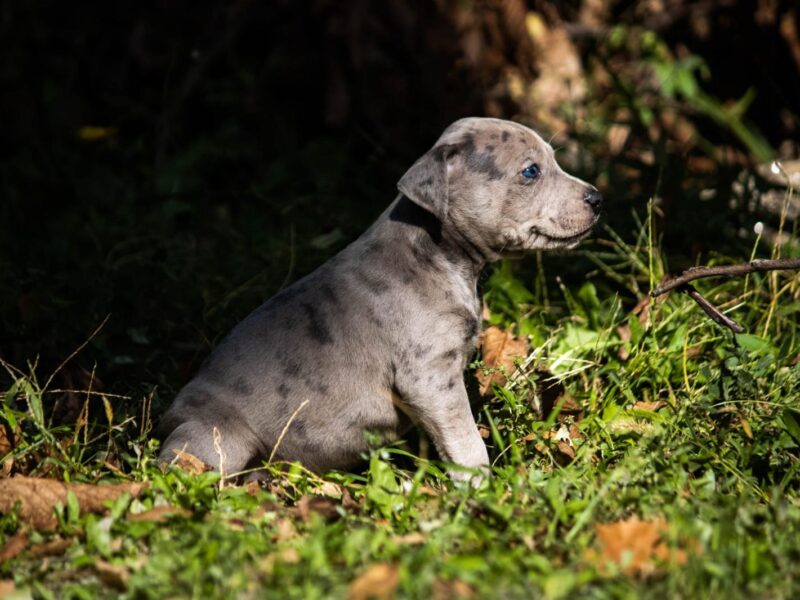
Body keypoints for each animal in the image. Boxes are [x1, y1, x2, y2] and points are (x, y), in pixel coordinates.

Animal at [159, 117, 604, 482]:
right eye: (531, 171)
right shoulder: (430, 378)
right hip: (218, 438)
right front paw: (481, 488)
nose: (598, 199)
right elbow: (465, 441)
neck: (437, 252)